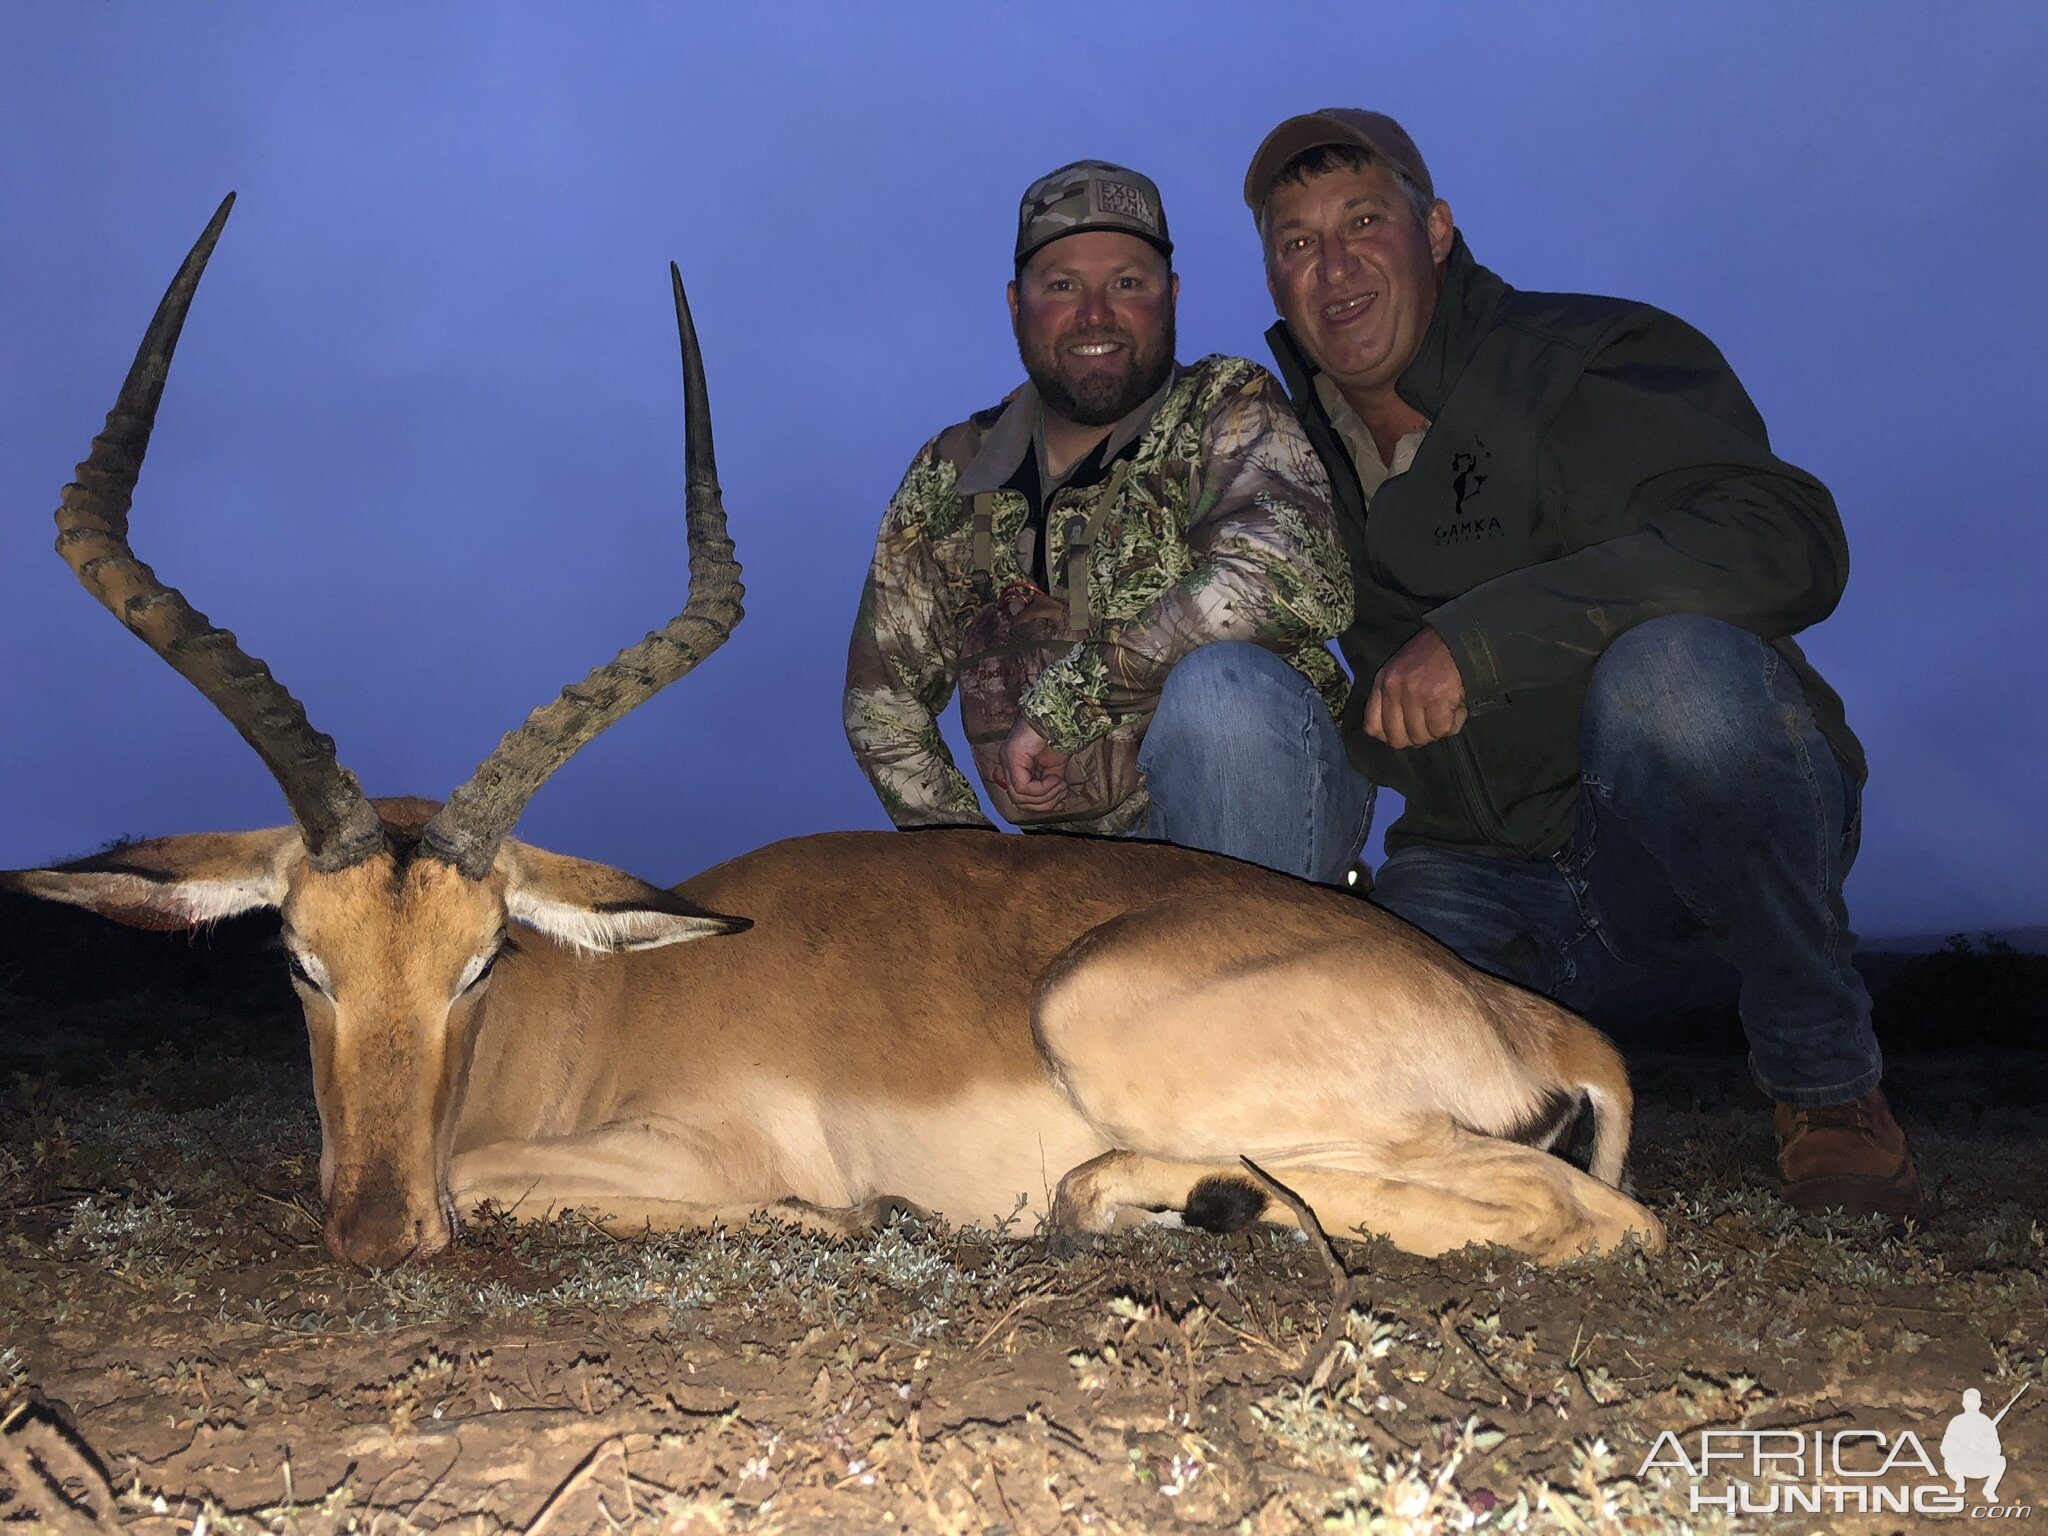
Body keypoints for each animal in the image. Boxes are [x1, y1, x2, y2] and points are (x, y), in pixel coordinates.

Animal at [8, 195, 1662, 1277]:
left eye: (484, 959)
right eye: (300, 959)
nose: (370, 1235)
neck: (593, 1013)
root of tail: (1530, 1017)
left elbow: (494, 1179)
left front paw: (844, 1215)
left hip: (1115, 1024)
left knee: (1591, 1217)